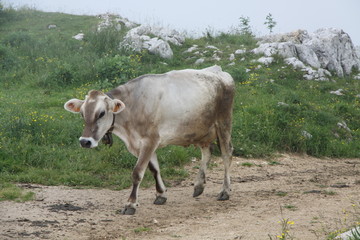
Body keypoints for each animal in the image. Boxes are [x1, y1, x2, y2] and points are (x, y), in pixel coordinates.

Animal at [63, 64, 235, 215]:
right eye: (82, 113)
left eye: (101, 113)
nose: (85, 141)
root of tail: (218, 70)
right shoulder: (140, 144)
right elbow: (154, 169)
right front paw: (161, 194)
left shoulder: (150, 140)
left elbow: (137, 172)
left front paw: (131, 204)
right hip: (201, 129)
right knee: (207, 151)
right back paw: (198, 186)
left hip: (223, 122)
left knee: (227, 154)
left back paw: (224, 191)